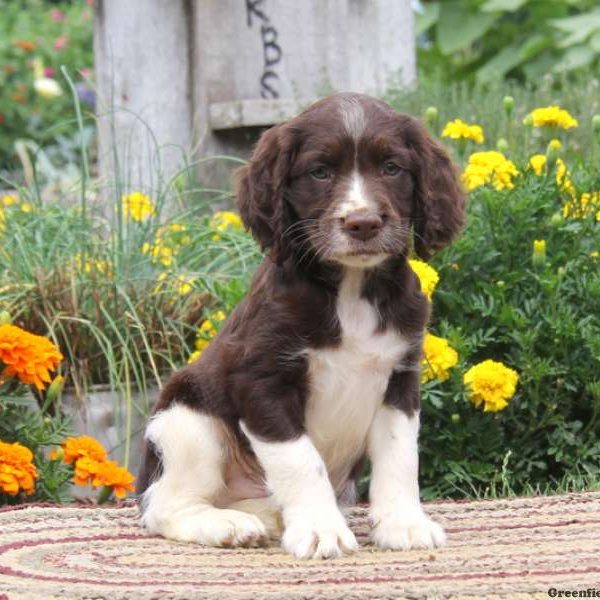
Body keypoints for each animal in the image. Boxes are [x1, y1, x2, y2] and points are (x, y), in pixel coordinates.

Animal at [138, 92, 466, 556]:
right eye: (319, 171)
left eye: (391, 167)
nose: (362, 222)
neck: (350, 290)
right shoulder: (261, 378)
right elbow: (300, 459)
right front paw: (319, 529)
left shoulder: (400, 377)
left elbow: (400, 456)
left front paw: (403, 523)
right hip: (185, 419)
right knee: (164, 505)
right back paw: (227, 524)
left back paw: (267, 517)